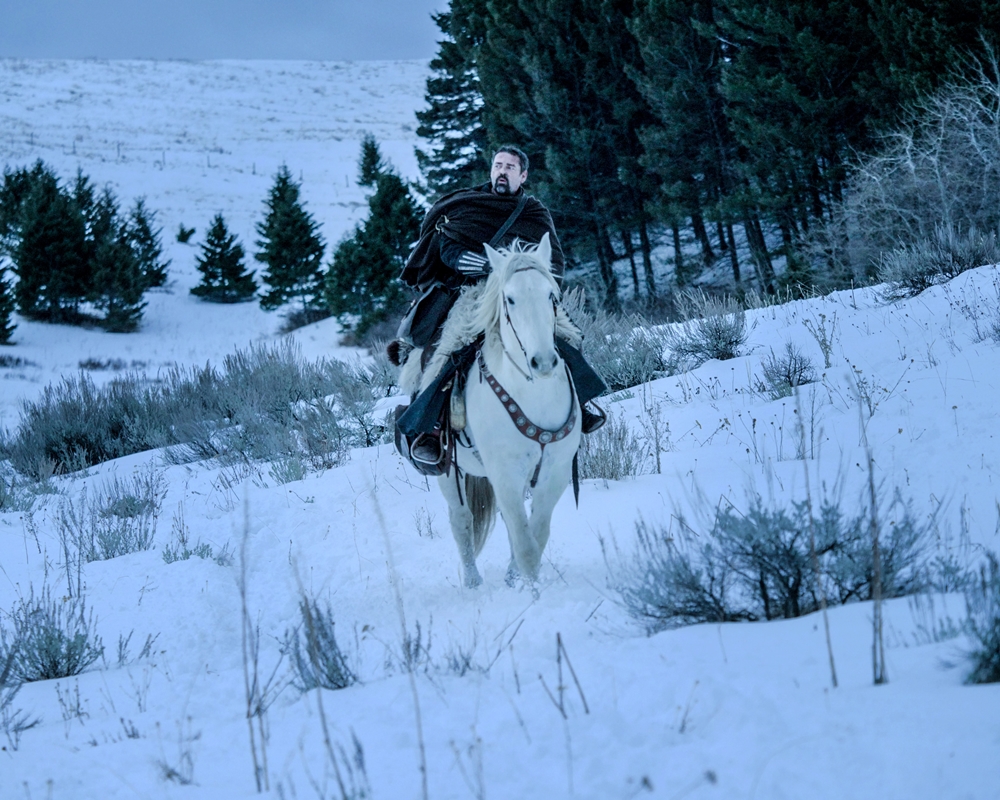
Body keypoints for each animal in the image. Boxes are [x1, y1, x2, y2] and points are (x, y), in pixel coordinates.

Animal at [402, 233, 584, 588]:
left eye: (551, 295)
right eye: (509, 299)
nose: (543, 362)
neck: (533, 395)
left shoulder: (553, 472)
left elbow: (535, 534)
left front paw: (522, 581)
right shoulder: (505, 473)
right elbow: (525, 544)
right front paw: (532, 592)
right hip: (449, 472)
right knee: (461, 520)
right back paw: (473, 583)